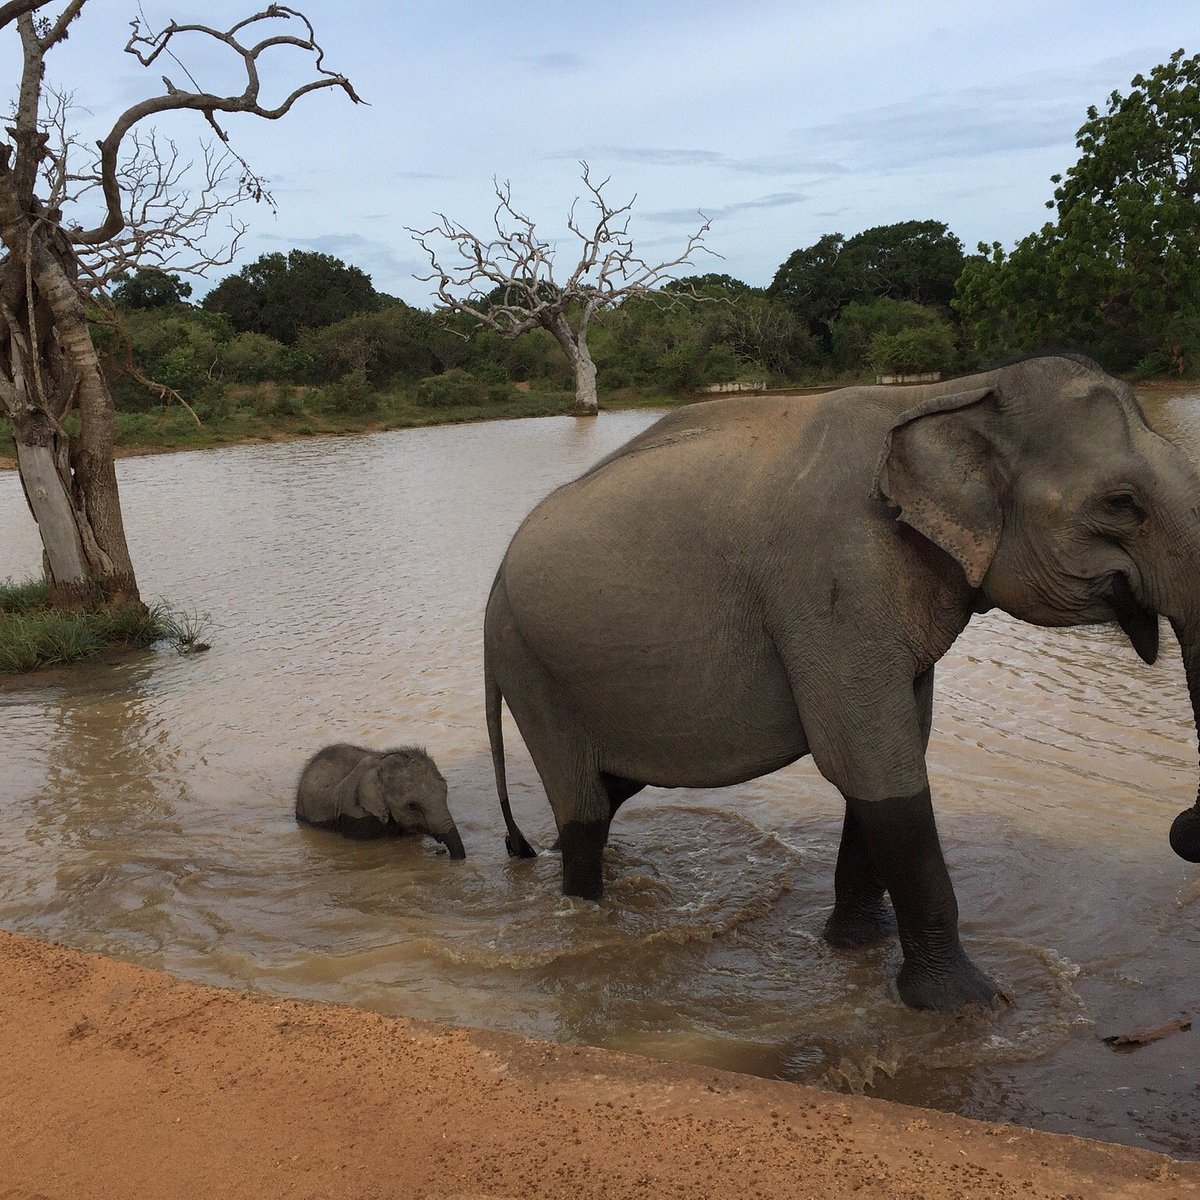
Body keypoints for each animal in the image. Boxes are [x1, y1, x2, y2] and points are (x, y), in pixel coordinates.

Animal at [480, 357, 1200, 1012]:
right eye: (1122, 505)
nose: (1182, 827)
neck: (954, 392)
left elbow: (892, 750)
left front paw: (854, 947)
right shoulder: (836, 582)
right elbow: (870, 759)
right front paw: (968, 1006)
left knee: (613, 788)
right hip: (530, 665)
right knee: (584, 808)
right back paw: (584, 910)